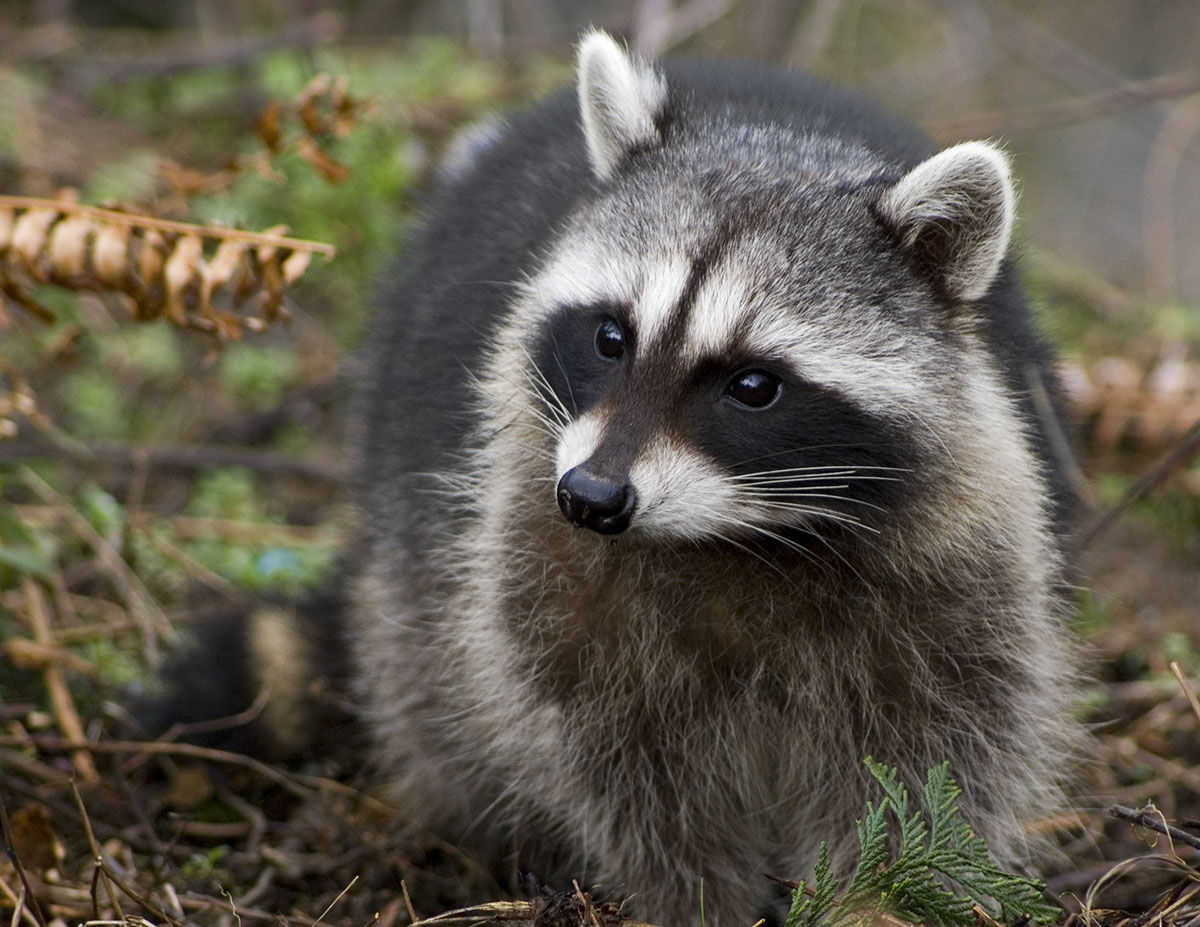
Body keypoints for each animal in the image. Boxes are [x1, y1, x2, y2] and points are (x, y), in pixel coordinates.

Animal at [340, 30, 1080, 927]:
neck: (740, 533)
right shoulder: (542, 559)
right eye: (611, 336)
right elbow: (625, 766)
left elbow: (936, 753)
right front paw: (695, 896)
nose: (591, 499)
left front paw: (878, 896)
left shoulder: (959, 566)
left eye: (754, 385)